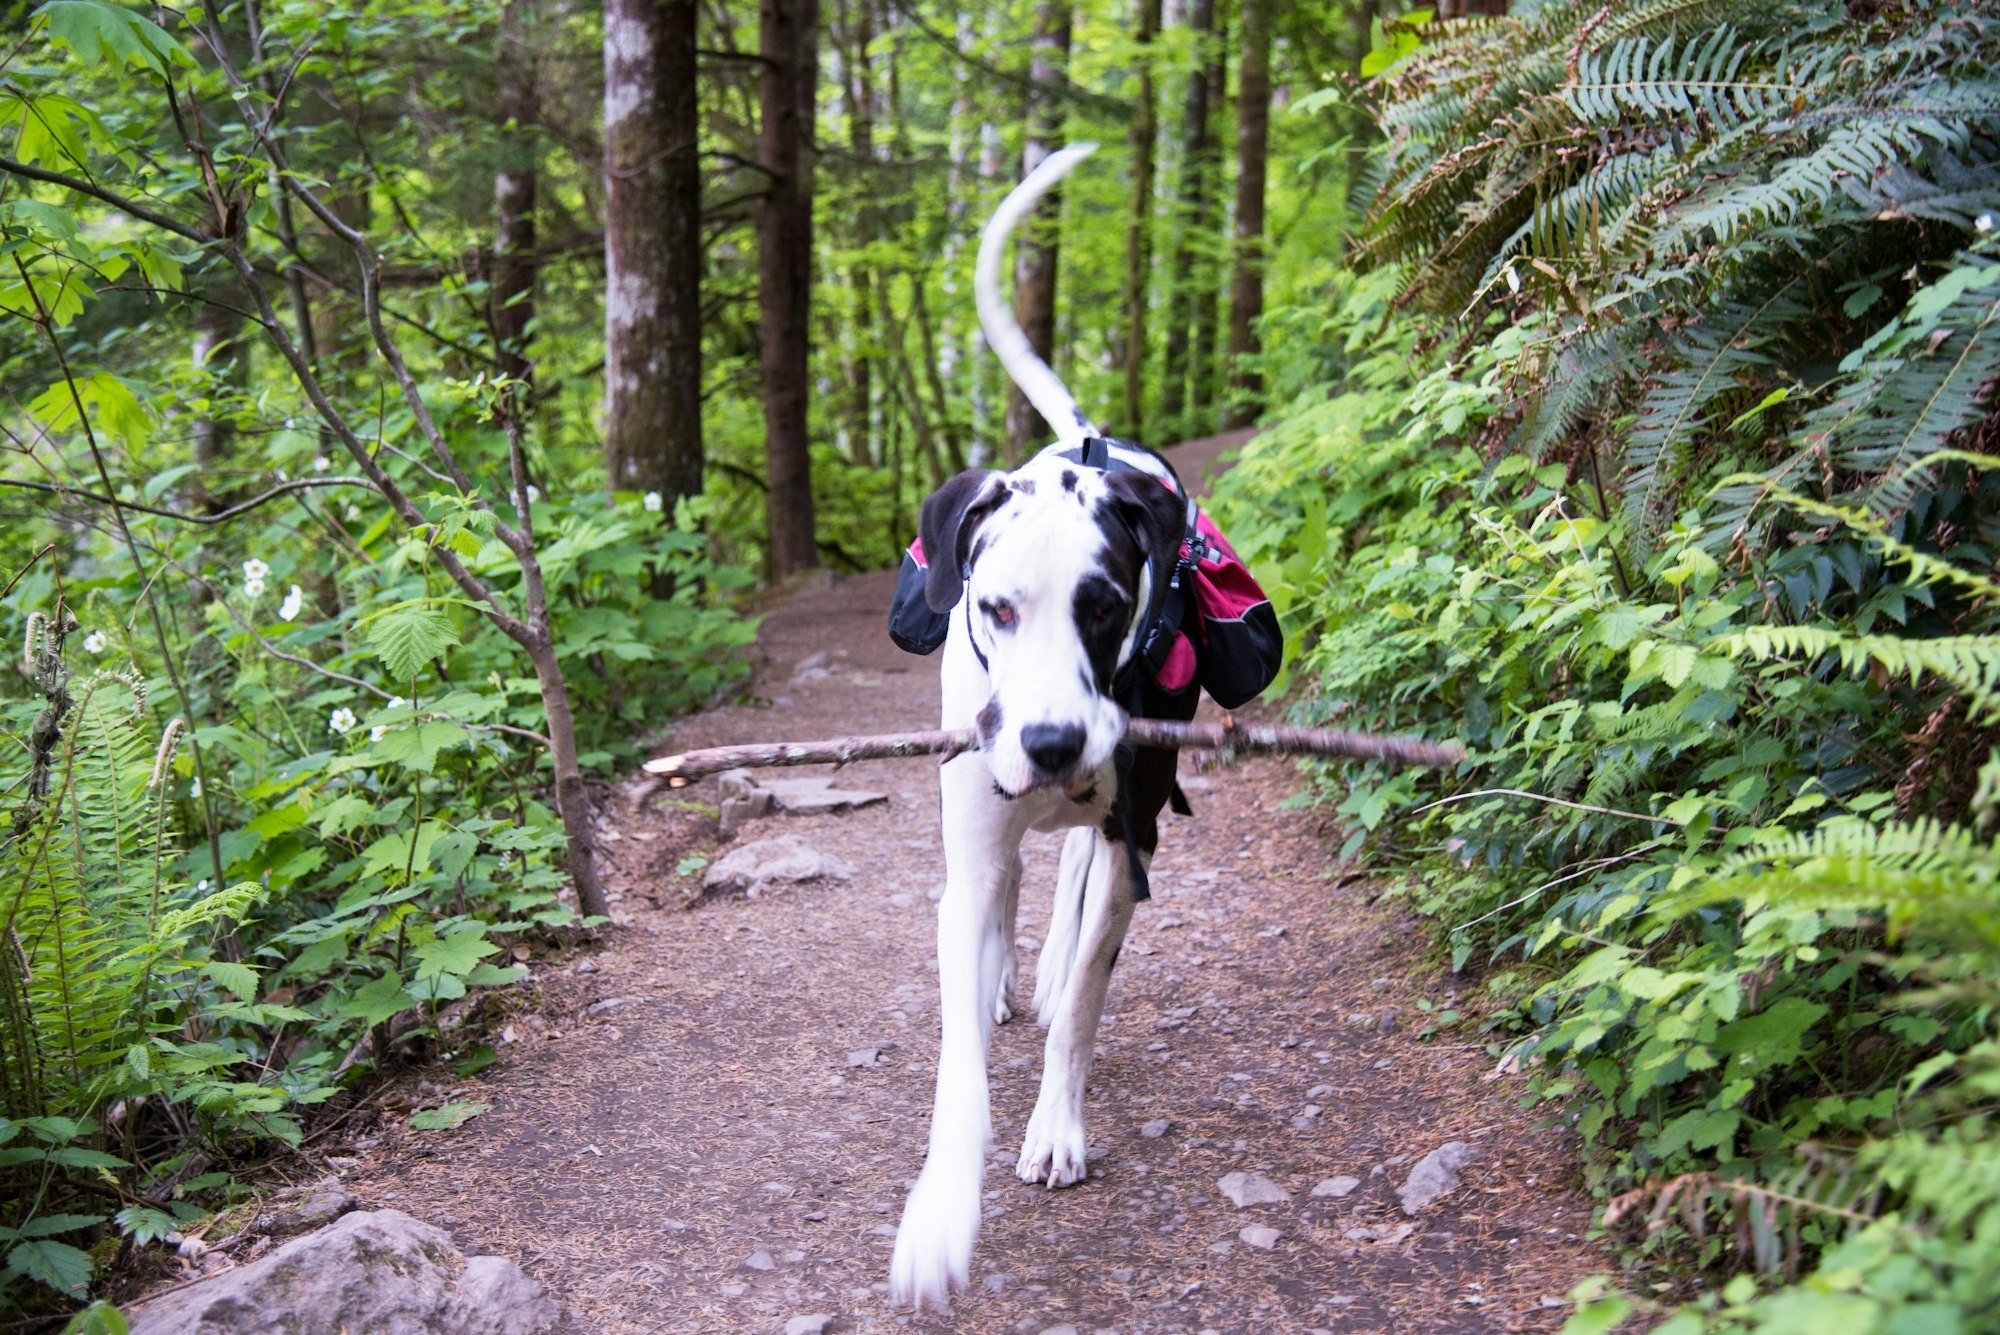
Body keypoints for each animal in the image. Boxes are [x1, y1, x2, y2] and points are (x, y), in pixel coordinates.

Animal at [892, 145, 1200, 1311]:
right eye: (996, 608)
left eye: (1105, 605)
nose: (1056, 745)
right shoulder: (972, 850)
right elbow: (956, 1060)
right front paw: (942, 1209)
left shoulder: (1129, 832)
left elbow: (1083, 1002)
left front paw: (1057, 1130)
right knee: (1017, 892)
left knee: (1071, 893)